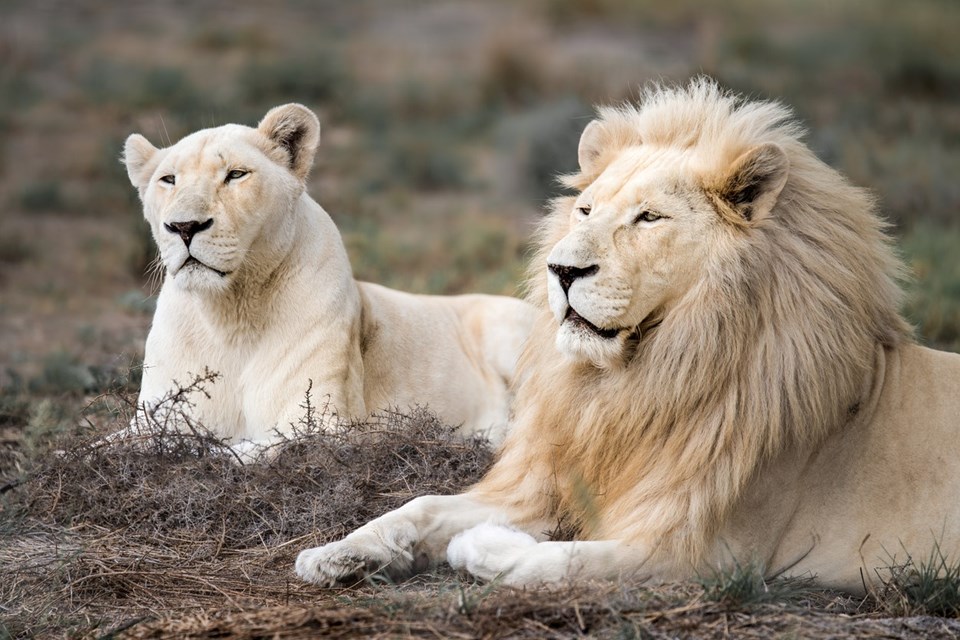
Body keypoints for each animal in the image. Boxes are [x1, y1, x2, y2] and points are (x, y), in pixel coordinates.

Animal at [122, 102, 532, 448]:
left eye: (236, 174)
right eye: (168, 180)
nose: (184, 227)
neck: (230, 315)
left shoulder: (324, 425)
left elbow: (237, 453)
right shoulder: (150, 419)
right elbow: (112, 449)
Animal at [296, 80, 960, 596]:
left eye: (649, 218)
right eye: (586, 210)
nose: (562, 271)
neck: (631, 385)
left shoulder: (700, 554)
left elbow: (560, 561)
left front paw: (479, 547)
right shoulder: (547, 484)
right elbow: (423, 505)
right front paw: (335, 552)